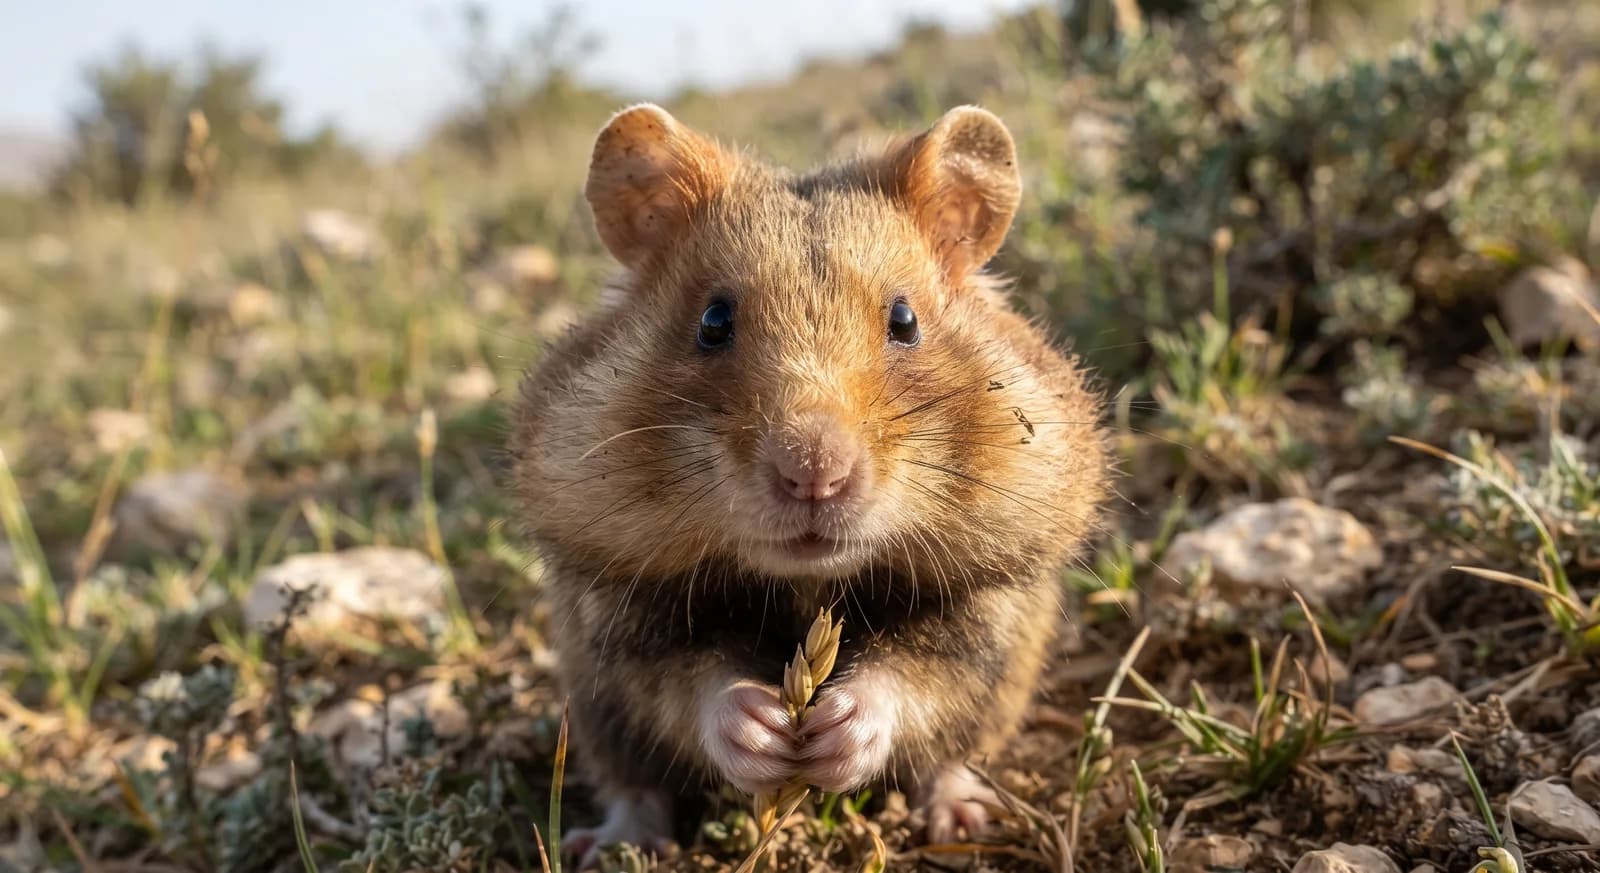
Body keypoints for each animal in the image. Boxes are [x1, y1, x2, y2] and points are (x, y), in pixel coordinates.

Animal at [510, 103, 1107, 865]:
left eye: (905, 320)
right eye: (713, 321)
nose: (813, 475)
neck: (803, 581)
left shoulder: (983, 616)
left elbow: (913, 678)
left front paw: (831, 730)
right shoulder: (622, 621)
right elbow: (693, 684)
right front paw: (767, 730)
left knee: (949, 756)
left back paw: (964, 819)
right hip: (594, 709)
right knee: (634, 783)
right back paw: (613, 846)